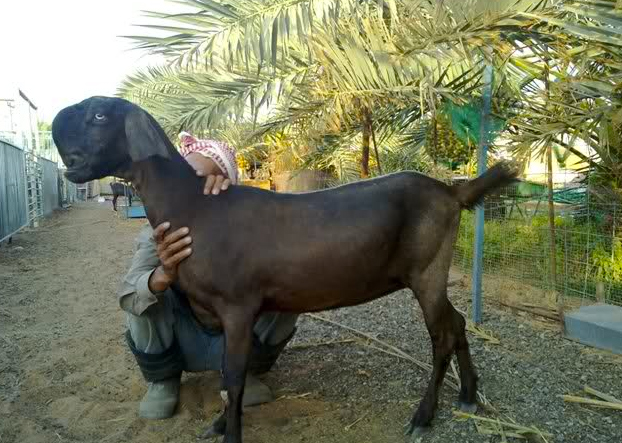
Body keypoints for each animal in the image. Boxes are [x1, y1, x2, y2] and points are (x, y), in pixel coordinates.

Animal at [52, 97, 520, 443]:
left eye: (98, 115)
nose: (55, 122)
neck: (194, 207)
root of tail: (453, 191)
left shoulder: (238, 306)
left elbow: (233, 378)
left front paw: (231, 435)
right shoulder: (222, 314)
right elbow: (227, 376)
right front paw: (219, 424)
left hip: (427, 269)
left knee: (441, 335)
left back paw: (424, 416)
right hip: (431, 273)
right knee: (457, 322)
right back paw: (468, 394)